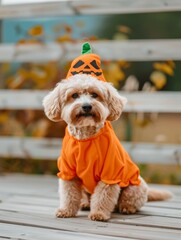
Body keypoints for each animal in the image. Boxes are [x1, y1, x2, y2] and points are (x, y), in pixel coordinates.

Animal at [42, 41, 173, 221]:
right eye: (74, 95)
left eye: (94, 94)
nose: (86, 106)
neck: (85, 138)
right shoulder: (68, 172)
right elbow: (69, 194)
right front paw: (66, 210)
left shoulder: (110, 173)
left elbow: (103, 196)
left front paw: (98, 214)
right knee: (85, 196)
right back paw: (84, 204)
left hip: (135, 187)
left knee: (127, 200)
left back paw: (126, 208)